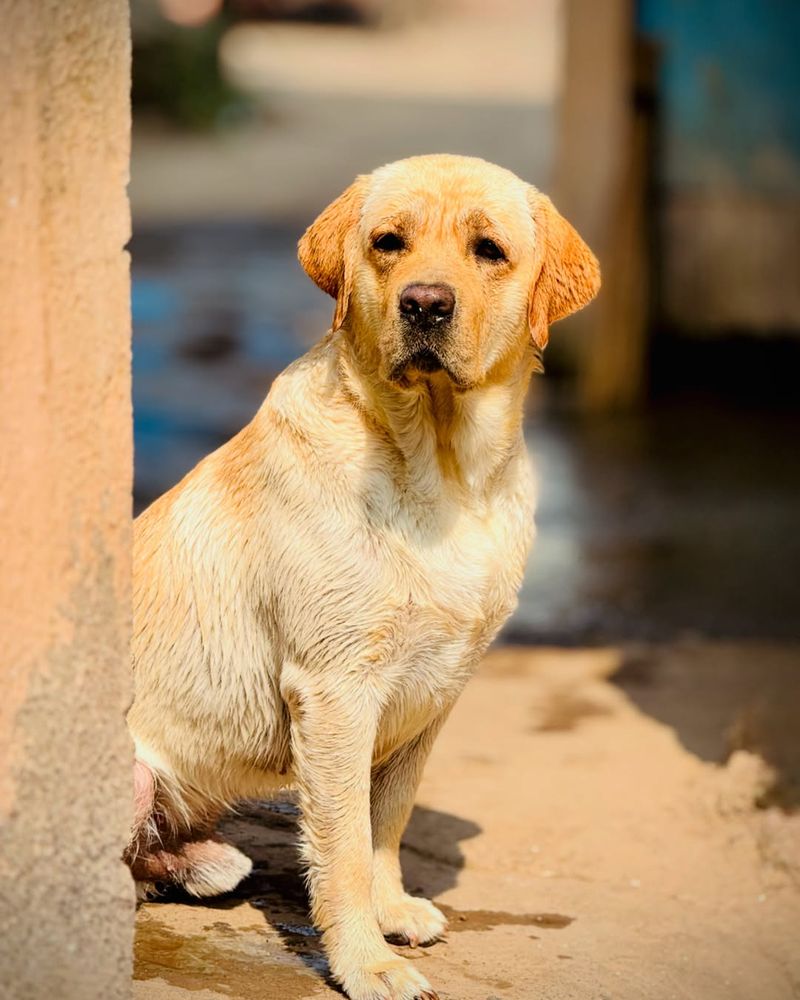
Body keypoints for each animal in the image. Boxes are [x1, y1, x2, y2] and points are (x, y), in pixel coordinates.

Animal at [126, 152, 600, 996]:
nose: (425, 304)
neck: (443, 473)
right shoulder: (337, 690)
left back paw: (206, 862)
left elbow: (388, 820)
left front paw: (393, 911)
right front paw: (365, 961)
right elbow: (343, 844)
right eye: (389, 243)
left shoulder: (431, 695)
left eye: (488, 249)